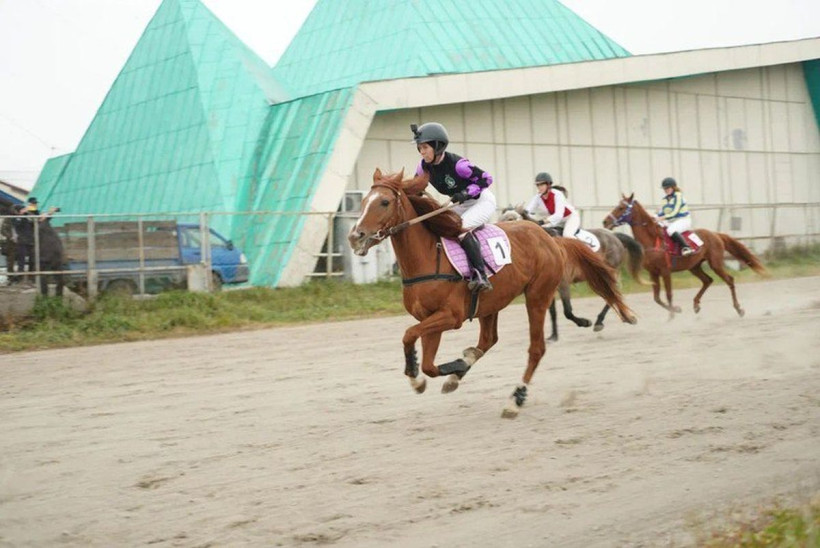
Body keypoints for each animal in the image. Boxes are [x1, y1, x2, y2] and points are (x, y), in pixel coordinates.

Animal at [500, 206, 645, 341]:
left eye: (511, 219)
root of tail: (614, 236)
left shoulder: (563, 283)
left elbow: (567, 311)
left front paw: (585, 322)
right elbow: (552, 312)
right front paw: (553, 336)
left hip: (608, 272)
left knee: (612, 295)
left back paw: (602, 322)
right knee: (613, 295)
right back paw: (625, 318)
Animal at [602, 193, 768, 318]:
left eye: (621, 207)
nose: (605, 221)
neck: (652, 239)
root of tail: (715, 234)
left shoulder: (665, 271)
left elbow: (668, 294)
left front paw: (672, 316)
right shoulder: (653, 273)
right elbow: (656, 298)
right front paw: (676, 310)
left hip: (715, 264)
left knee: (729, 280)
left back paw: (739, 309)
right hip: (694, 266)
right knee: (707, 280)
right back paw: (696, 305)